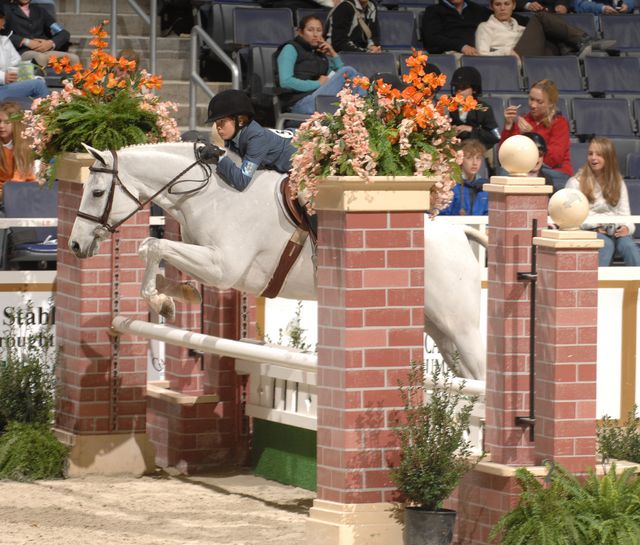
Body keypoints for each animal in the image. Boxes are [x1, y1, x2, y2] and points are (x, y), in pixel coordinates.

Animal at [69, 143, 484, 378]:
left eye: (98, 192)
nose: (75, 245)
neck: (209, 194)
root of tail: (459, 232)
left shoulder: (223, 267)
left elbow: (150, 248)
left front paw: (163, 301)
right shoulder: (206, 258)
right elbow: (157, 255)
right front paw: (175, 298)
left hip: (460, 325)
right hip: (436, 327)